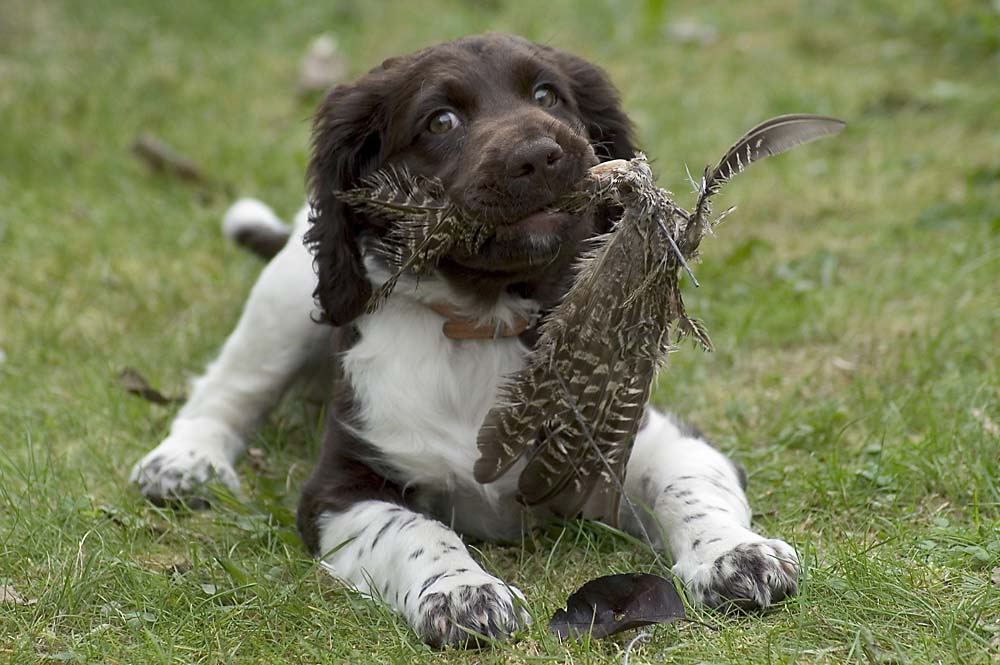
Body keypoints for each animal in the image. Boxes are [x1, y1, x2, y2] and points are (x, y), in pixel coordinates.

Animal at [133, 33, 800, 644]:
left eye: (547, 95)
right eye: (440, 120)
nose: (541, 155)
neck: (484, 324)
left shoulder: (648, 438)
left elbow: (689, 486)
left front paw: (737, 554)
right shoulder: (339, 490)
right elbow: (414, 530)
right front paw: (463, 593)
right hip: (289, 299)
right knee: (226, 388)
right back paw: (183, 463)